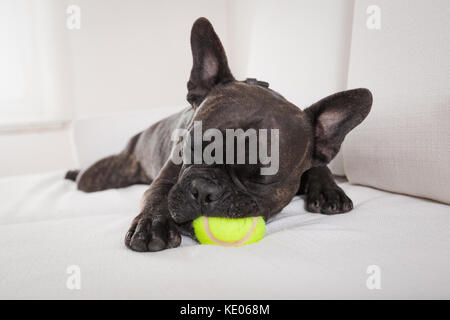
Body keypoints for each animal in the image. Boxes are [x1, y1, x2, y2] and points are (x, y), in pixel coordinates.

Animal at [65, 17, 370, 252]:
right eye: (188, 148)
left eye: (261, 177)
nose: (204, 190)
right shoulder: (167, 175)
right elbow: (157, 193)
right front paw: (151, 225)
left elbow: (319, 167)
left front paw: (329, 190)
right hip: (102, 175)